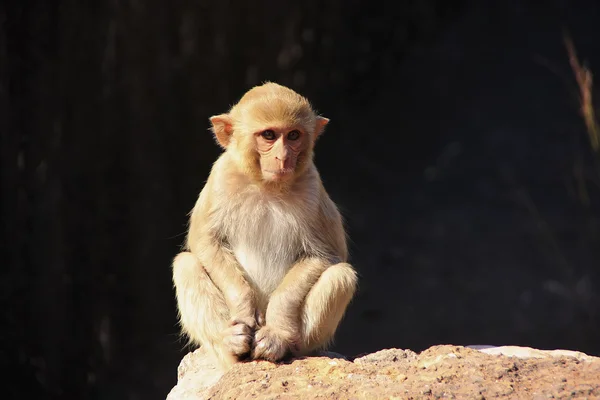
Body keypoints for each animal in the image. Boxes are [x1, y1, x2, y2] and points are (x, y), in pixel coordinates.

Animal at [171, 82, 358, 372]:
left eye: (293, 135)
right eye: (269, 135)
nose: (283, 157)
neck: (266, 186)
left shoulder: (312, 186)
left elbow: (326, 255)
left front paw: (277, 333)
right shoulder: (220, 176)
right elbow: (206, 241)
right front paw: (243, 307)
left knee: (341, 275)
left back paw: (282, 344)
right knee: (185, 265)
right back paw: (231, 346)